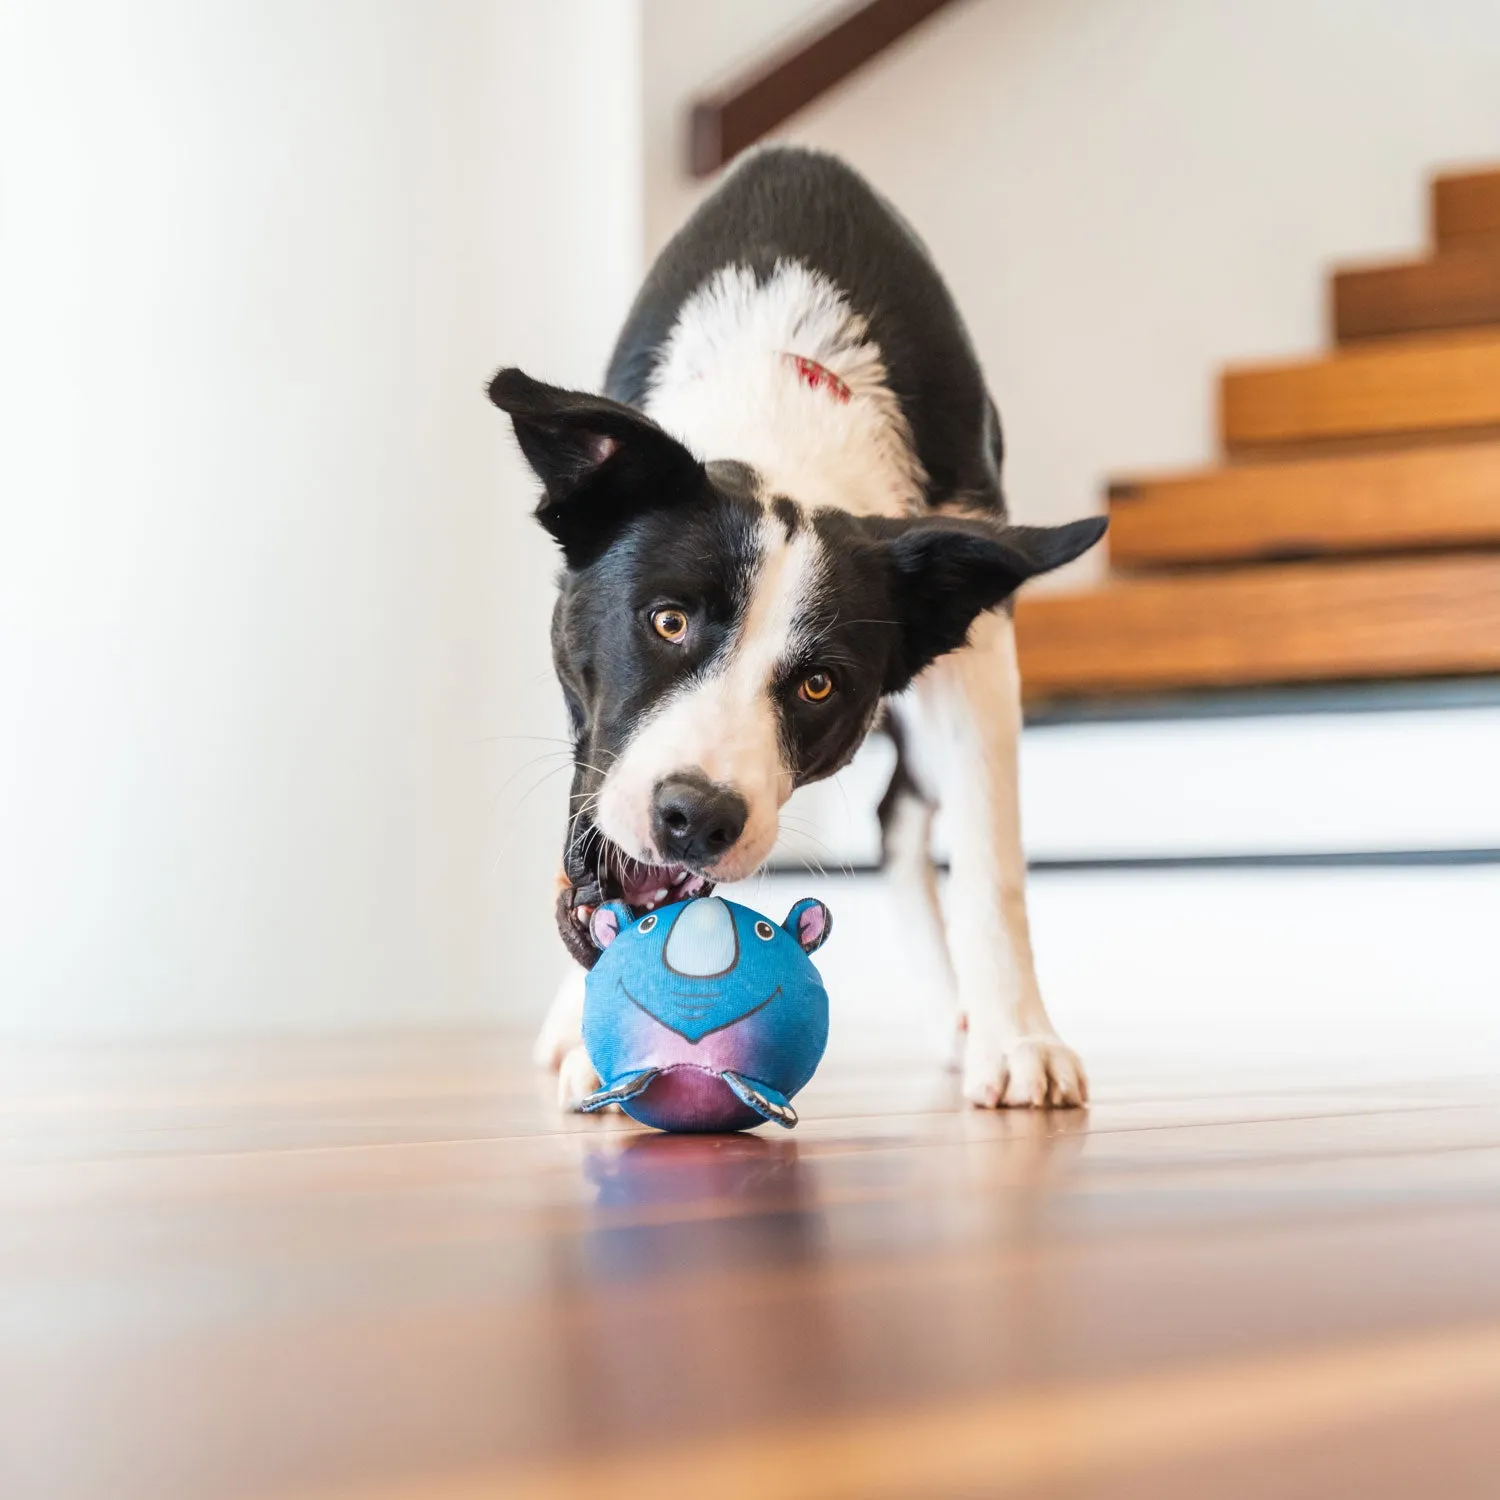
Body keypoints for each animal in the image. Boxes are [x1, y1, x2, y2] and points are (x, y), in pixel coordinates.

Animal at [489, 146, 1104, 1110]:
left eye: (819, 685)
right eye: (667, 620)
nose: (695, 819)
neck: (786, 402)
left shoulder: (979, 644)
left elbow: (992, 857)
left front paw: (1019, 1036)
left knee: (905, 815)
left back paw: (963, 1015)